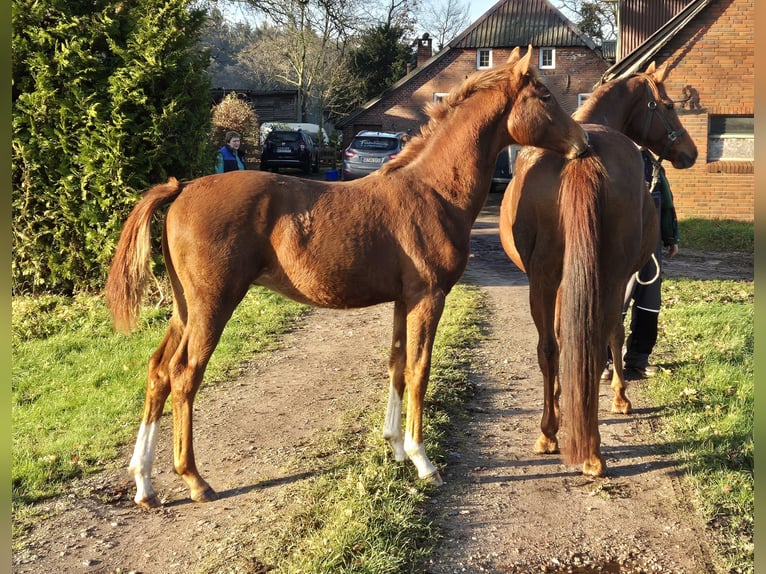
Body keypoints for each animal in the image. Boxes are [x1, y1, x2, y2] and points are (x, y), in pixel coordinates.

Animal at [106, 48, 588, 508]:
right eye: (545, 96)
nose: (582, 143)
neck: (434, 192)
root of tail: (182, 188)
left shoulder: (404, 299)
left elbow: (397, 364)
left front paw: (396, 448)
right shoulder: (428, 297)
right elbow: (419, 369)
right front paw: (423, 460)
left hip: (185, 308)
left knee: (158, 371)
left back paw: (144, 483)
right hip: (213, 306)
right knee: (184, 375)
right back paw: (194, 480)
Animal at [500, 62, 700, 476]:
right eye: (669, 106)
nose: (690, 152)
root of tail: (584, 155)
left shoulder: (561, 279)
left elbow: (561, 338)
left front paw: (560, 398)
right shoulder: (617, 278)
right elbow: (615, 334)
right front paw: (620, 398)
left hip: (543, 278)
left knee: (549, 347)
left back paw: (549, 434)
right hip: (611, 276)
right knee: (602, 336)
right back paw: (592, 451)